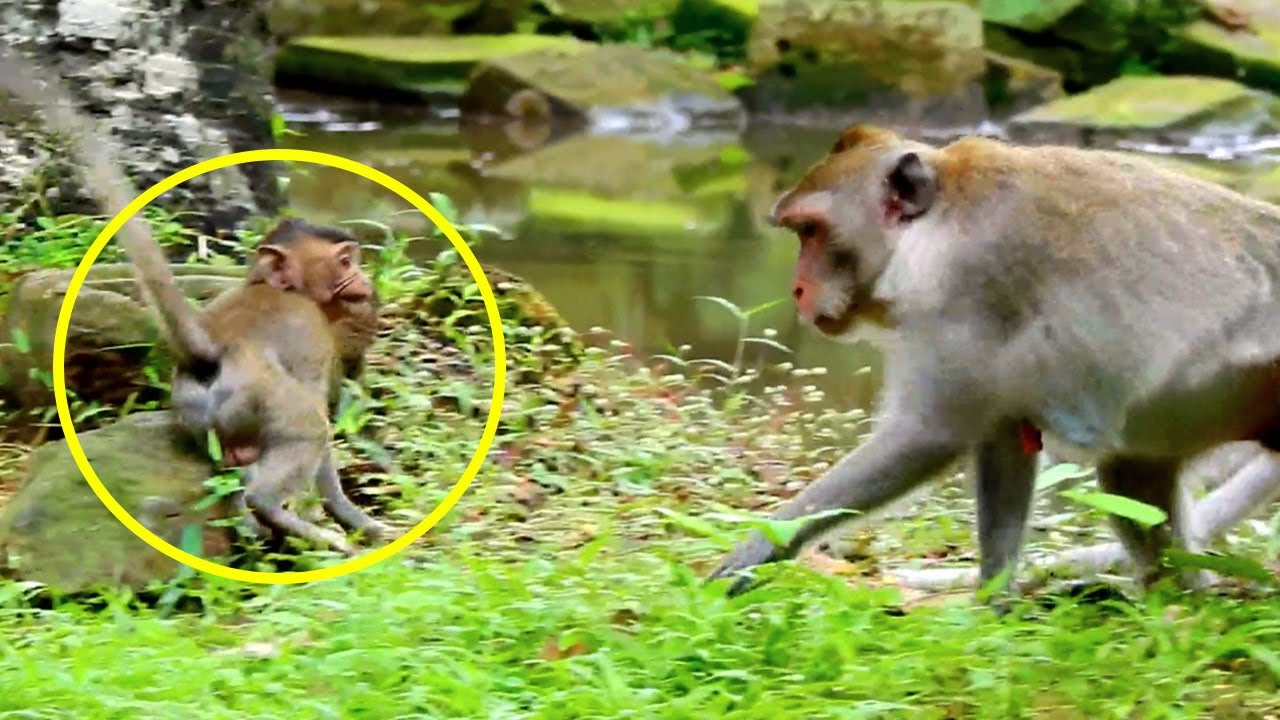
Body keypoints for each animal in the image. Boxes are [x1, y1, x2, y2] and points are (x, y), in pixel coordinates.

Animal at [0, 45, 390, 556]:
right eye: (345, 262)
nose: (362, 277)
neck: (270, 286)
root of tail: (210, 354)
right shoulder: (313, 333)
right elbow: (321, 416)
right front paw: (351, 517)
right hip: (260, 400)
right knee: (305, 426)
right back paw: (280, 514)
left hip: (197, 416)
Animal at [707, 123, 1280, 600]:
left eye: (811, 231)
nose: (798, 289)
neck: (934, 228)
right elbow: (1005, 439)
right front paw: (994, 603)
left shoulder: (964, 297)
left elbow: (929, 436)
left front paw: (756, 550)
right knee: (1132, 473)